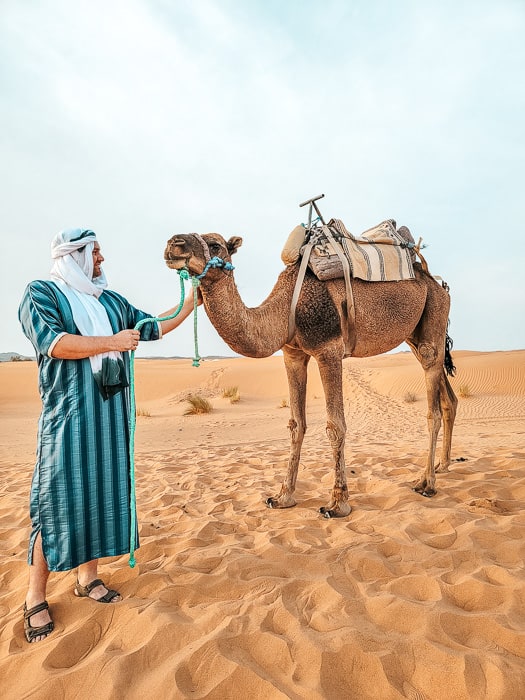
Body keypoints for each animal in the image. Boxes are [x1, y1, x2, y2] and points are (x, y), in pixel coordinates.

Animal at [164, 231, 457, 518]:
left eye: (215, 244)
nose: (173, 244)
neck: (286, 309)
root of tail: (437, 283)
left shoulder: (329, 349)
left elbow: (335, 425)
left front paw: (338, 503)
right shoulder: (293, 354)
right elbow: (296, 424)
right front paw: (282, 496)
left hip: (434, 314)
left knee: (433, 406)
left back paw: (427, 483)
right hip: (414, 336)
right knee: (447, 396)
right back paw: (443, 465)